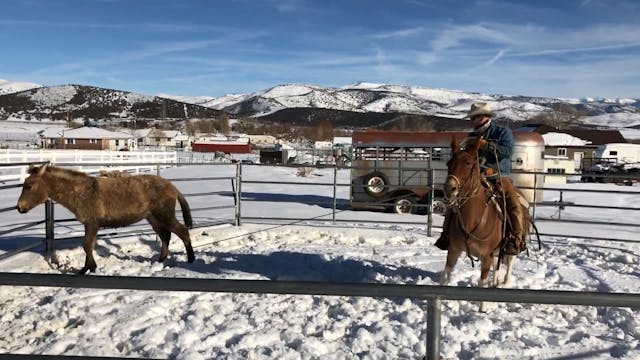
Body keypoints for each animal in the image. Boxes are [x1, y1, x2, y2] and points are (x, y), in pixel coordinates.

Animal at [16, 165, 194, 274]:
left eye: (29, 186)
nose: (19, 208)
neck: (82, 192)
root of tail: (173, 187)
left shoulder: (92, 223)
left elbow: (87, 245)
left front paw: (88, 269)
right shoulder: (91, 225)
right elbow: (88, 245)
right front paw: (88, 267)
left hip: (164, 215)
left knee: (182, 232)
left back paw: (191, 260)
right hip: (153, 218)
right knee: (165, 237)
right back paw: (160, 260)